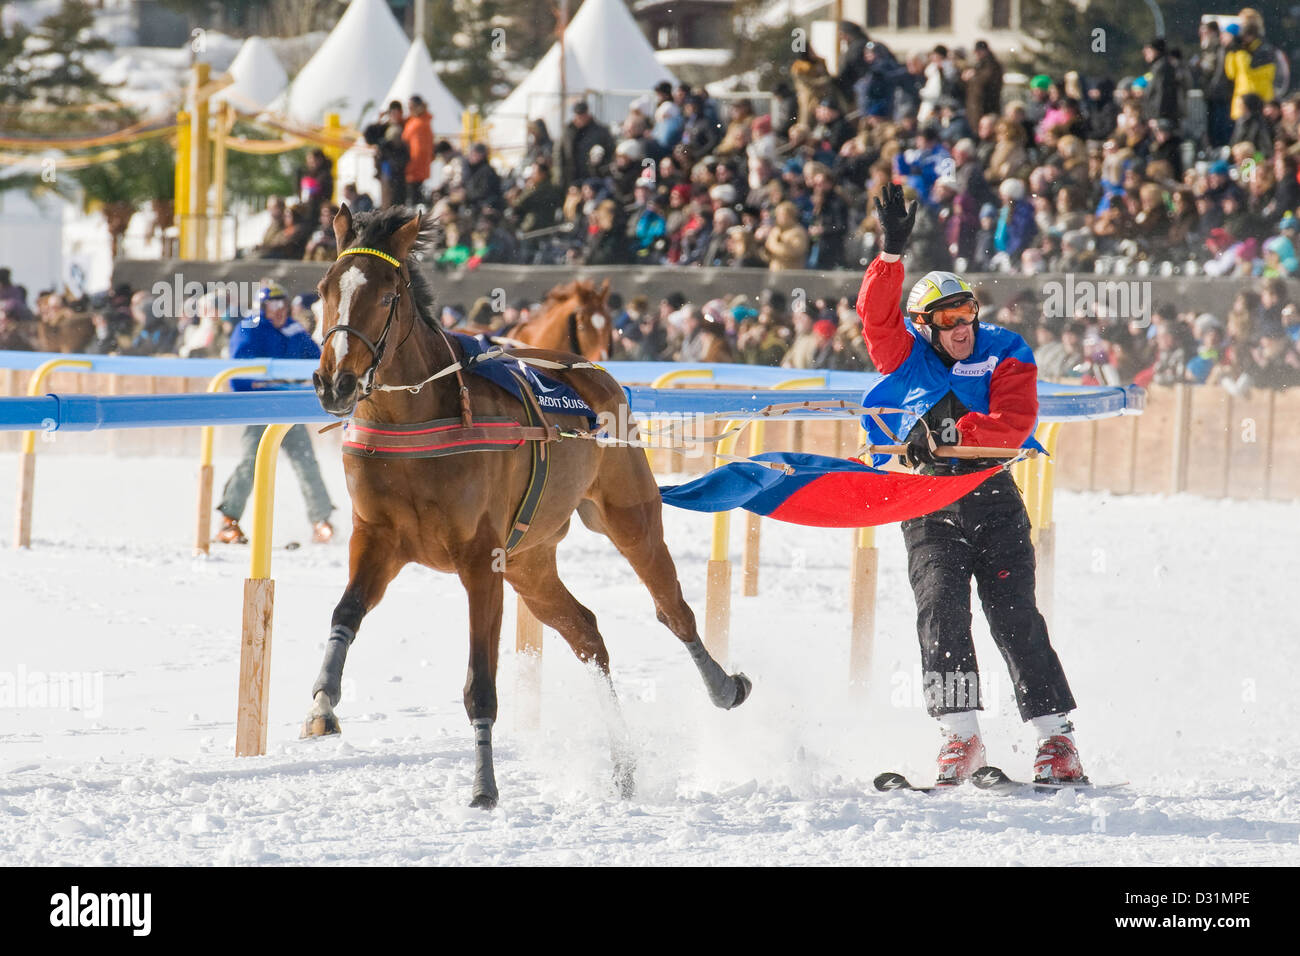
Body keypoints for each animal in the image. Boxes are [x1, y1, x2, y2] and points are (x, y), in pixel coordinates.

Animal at [306, 208, 754, 806]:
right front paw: (322, 704)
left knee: (672, 610)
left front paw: (484, 785)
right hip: (530, 562)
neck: (419, 420)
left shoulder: (481, 560)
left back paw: (723, 687)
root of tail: (594, 372)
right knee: (587, 634)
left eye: (384, 296)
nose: (335, 382)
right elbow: (346, 613)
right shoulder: (377, 538)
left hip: (628, 515)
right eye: (325, 290)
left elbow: (480, 681)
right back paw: (623, 763)